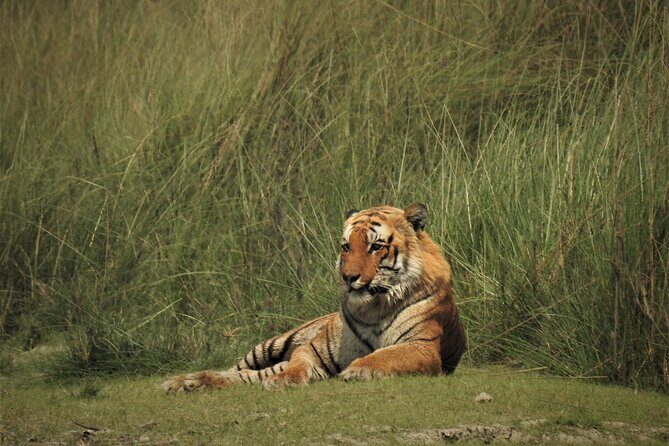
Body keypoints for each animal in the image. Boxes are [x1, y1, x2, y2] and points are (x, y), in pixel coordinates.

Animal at [162, 203, 466, 391]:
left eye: (375, 246)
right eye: (347, 246)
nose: (348, 277)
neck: (374, 308)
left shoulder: (421, 346)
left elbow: (384, 356)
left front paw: (357, 370)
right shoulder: (314, 349)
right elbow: (298, 364)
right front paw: (284, 381)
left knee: (248, 376)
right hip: (272, 344)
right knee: (240, 369)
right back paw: (182, 382)